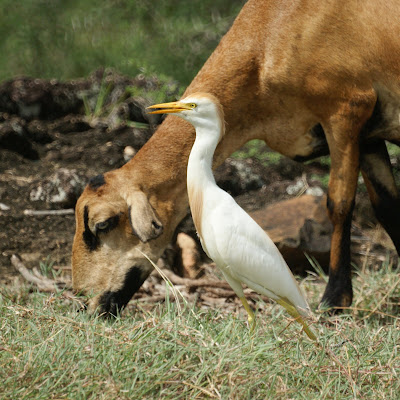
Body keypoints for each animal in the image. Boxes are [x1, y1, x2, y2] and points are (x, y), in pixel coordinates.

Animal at [72, 0, 400, 316]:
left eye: (103, 224)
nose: (83, 302)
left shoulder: (346, 110)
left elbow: (340, 204)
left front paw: (334, 300)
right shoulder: (368, 132)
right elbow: (388, 208)